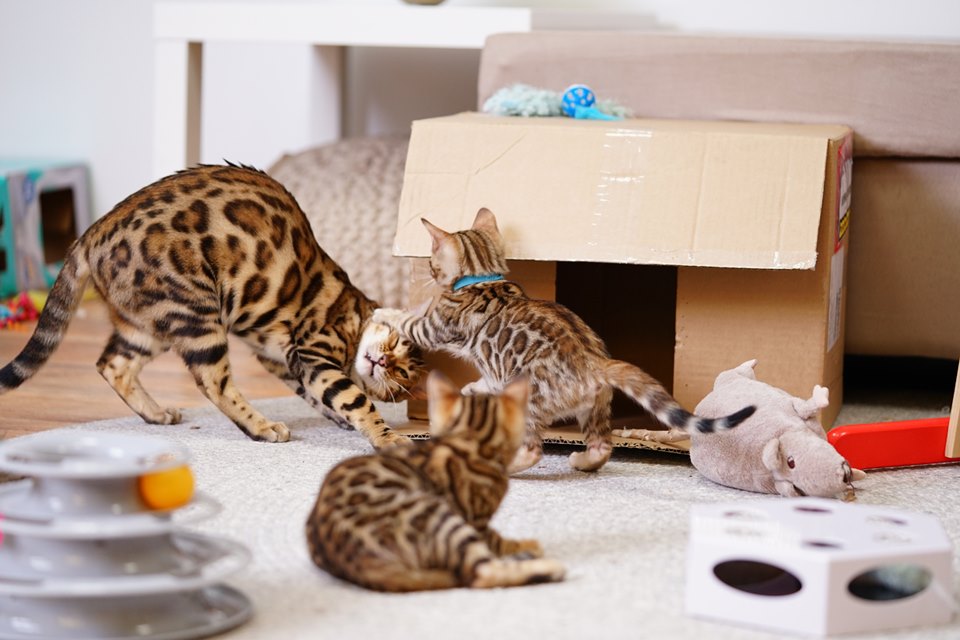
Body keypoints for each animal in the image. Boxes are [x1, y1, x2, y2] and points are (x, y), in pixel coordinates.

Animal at [0, 162, 424, 448]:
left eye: (402, 374)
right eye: (396, 345)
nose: (382, 362)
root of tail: (89, 234)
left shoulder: (286, 362)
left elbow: (327, 398)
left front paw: (345, 421)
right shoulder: (313, 352)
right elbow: (355, 399)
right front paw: (386, 437)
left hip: (150, 323)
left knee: (113, 365)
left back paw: (156, 413)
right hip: (195, 311)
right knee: (212, 382)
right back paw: (263, 427)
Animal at [306, 370, 564, 596]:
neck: (468, 442)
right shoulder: (476, 519)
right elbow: (495, 539)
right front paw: (524, 544)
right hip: (441, 519)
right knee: (480, 573)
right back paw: (548, 567)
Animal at [376, 208, 756, 472]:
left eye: (431, 261)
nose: (429, 272)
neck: (484, 276)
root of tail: (594, 363)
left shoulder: (435, 326)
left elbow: (410, 321)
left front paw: (383, 312)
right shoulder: (492, 367)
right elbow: (487, 378)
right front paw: (473, 387)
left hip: (532, 403)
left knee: (533, 449)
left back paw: (508, 466)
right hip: (596, 409)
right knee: (603, 446)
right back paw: (582, 462)